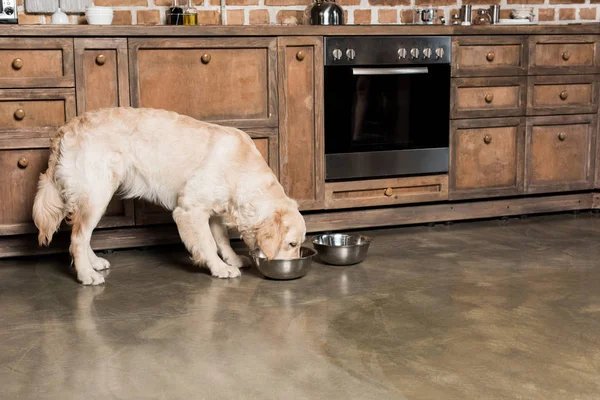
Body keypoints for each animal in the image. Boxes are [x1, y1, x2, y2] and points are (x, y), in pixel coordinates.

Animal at [31, 108, 304, 286]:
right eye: (292, 244)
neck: (240, 167)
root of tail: (67, 127)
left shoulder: (214, 211)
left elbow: (222, 240)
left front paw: (233, 259)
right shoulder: (189, 210)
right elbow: (207, 243)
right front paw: (219, 268)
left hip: (96, 197)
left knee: (81, 235)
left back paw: (94, 263)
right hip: (97, 194)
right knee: (78, 238)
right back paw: (86, 275)